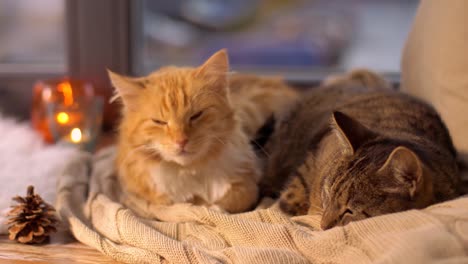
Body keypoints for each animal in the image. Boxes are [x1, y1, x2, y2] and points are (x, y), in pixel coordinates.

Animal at [109, 49, 298, 213]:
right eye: (159, 122)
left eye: (196, 115)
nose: (181, 141)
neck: (190, 170)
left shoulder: (248, 182)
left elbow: (227, 201)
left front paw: (210, 207)